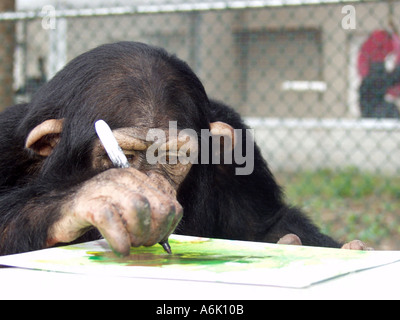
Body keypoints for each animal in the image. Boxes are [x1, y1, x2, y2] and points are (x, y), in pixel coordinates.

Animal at [0, 41, 368, 256]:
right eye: (125, 157)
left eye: (173, 158)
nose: (156, 189)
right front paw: (103, 193)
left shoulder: (238, 150)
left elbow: (264, 224)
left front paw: (345, 248)